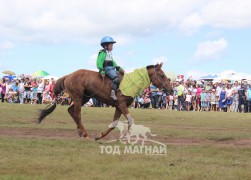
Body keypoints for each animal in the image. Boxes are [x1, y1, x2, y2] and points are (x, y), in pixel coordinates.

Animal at [37, 62, 174, 140]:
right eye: (162, 75)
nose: (171, 90)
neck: (131, 82)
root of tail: (68, 75)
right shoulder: (121, 104)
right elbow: (130, 119)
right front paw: (123, 135)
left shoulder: (118, 107)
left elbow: (114, 123)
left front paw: (101, 135)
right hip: (78, 98)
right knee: (77, 114)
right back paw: (85, 134)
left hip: (84, 98)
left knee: (71, 111)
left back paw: (80, 131)